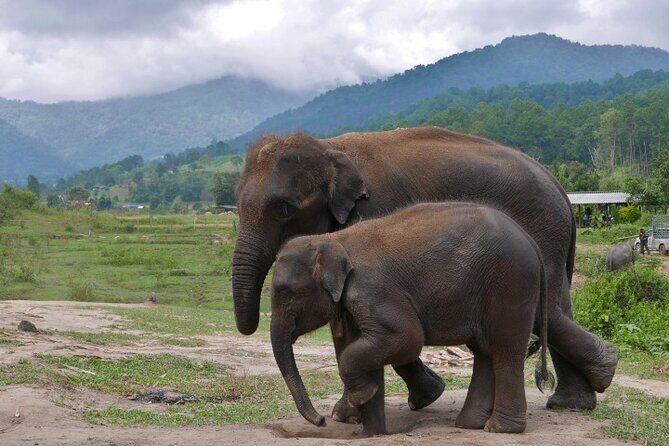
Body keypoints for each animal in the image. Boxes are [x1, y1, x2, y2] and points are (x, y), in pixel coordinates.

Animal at [270, 203, 551, 436]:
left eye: (285, 292)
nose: (320, 421)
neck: (334, 239)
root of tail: (531, 240)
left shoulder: (373, 289)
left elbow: (406, 338)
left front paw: (362, 398)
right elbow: (356, 343)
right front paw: (364, 422)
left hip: (510, 283)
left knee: (504, 350)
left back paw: (499, 428)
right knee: (484, 351)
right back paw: (470, 424)